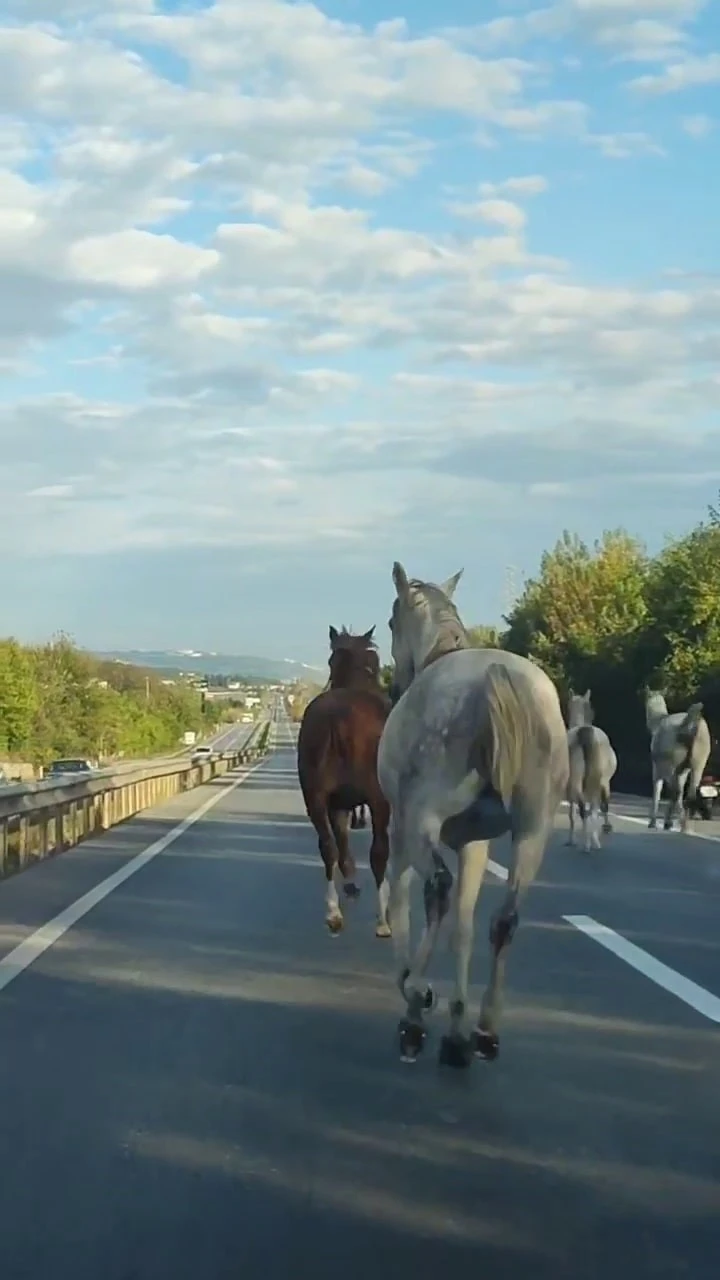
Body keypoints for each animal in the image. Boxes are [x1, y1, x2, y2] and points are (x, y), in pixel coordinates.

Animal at [294, 624, 389, 936]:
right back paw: (383, 919)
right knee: (378, 853)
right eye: (374, 662)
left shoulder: (338, 803)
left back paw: (333, 912)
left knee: (328, 847)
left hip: (314, 796)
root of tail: (339, 717)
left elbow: (342, 842)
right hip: (378, 799)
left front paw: (349, 882)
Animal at [376, 560, 566, 1070]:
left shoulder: (402, 830)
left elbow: (400, 902)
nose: (395, 683)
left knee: (436, 889)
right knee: (504, 919)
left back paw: (416, 1006)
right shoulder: (474, 843)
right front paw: (457, 1028)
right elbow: (464, 926)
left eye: (391, 621)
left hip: (422, 822)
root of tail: (497, 678)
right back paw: (483, 1030)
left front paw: (415, 993)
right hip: (533, 831)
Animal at [563, 691, 614, 849]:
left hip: (577, 782)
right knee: (595, 808)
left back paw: (587, 841)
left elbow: (572, 813)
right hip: (598, 782)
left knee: (582, 809)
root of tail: (584, 731)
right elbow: (600, 807)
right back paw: (593, 841)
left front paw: (571, 839)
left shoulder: (569, 788)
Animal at [640, 691, 707, 829]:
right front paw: (666, 822)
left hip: (671, 761)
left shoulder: (659, 766)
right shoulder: (682, 769)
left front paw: (653, 822)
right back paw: (685, 824)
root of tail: (689, 724)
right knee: (690, 793)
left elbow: (658, 789)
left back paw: (681, 823)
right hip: (700, 760)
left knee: (676, 791)